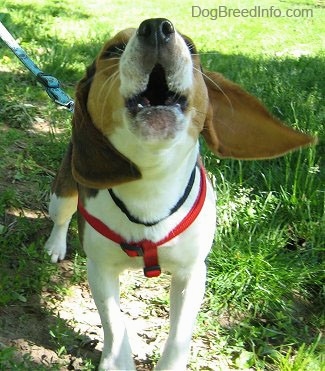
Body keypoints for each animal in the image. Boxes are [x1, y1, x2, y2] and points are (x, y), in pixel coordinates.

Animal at [44, 18, 312, 371]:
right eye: (114, 50)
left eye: (191, 46)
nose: (157, 27)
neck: (150, 184)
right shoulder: (100, 268)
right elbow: (115, 324)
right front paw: (118, 360)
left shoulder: (192, 272)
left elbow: (179, 335)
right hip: (64, 192)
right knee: (61, 218)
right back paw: (55, 245)